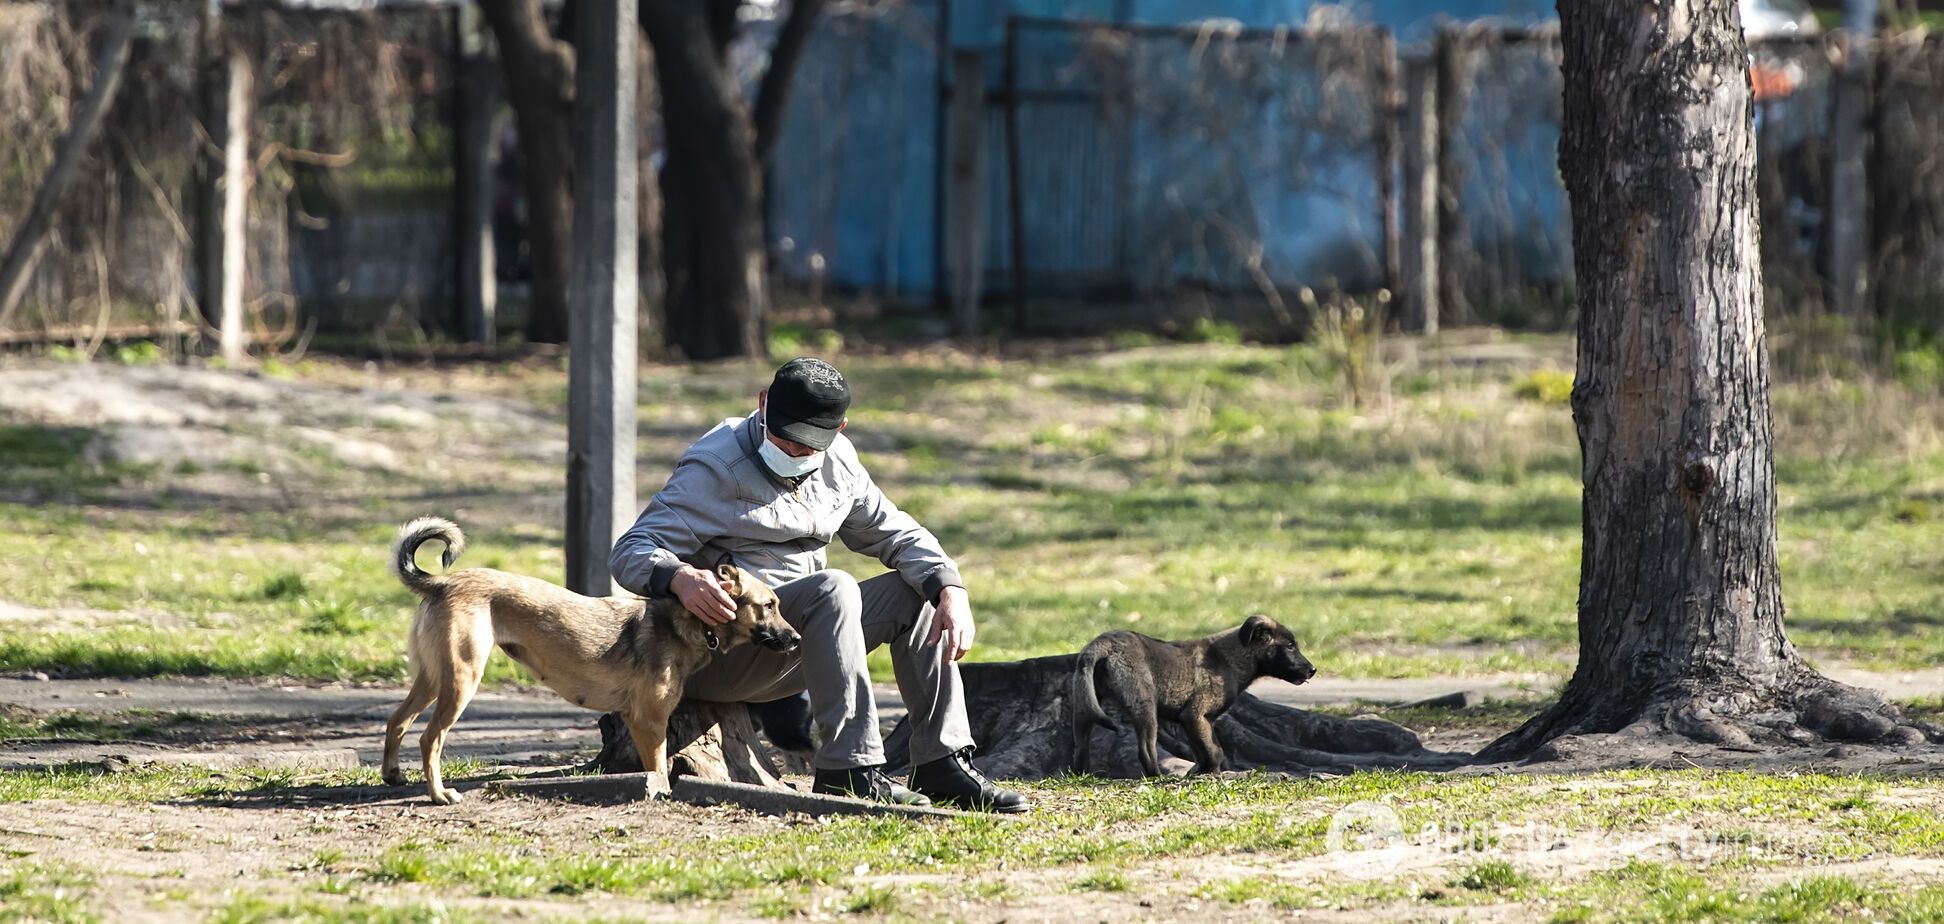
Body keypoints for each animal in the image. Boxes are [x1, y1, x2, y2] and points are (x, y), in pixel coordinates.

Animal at [379, 517, 797, 805]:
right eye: (769, 605)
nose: (797, 639)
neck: (689, 622)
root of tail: (441, 582)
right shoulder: (649, 722)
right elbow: (658, 769)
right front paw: (659, 792)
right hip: (462, 680)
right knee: (430, 738)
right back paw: (439, 794)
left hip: (432, 679)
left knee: (396, 720)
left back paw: (393, 775)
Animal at [1073, 618, 1314, 778]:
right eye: (1290, 646)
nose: (1313, 670)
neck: (1231, 658)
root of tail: (1104, 642)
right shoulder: (1196, 714)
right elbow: (1215, 751)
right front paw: (1212, 773)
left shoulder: (1192, 721)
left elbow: (1202, 750)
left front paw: (1199, 772)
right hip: (1146, 707)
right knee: (1146, 750)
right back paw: (1157, 776)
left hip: (1085, 709)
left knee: (1079, 746)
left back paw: (1080, 774)